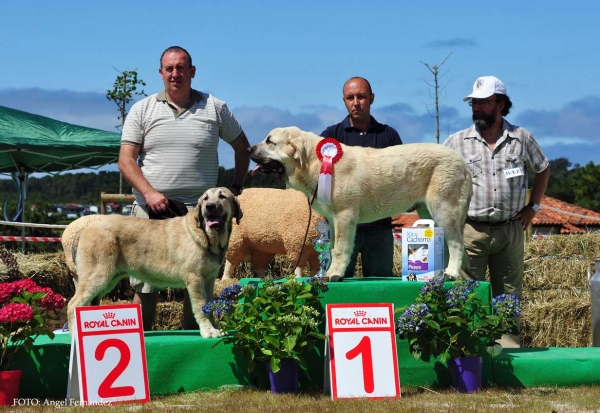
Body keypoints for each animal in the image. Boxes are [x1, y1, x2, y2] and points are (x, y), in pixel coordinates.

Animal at [66, 188, 241, 336]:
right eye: (205, 199)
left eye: (222, 196)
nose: (210, 207)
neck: (207, 235)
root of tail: (83, 229)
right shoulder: (195, 279)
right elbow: (200, 306)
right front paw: (208, 331)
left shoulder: (209, 280)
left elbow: (209, 306)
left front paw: (215, 328)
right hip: (98, 275)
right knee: (73, 304)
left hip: (107, 279)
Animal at [248, 125, 474, 280]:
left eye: (269, 141)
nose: (249, 149)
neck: (316, 161)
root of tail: (462, 162)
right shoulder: (333, 220)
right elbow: (331, 248)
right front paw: (329, 272)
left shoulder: (344, 215)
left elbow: (340, 248)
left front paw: (334, 275)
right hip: (429, 212)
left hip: (444, 209)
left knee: (456, 243)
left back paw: (451, 273)